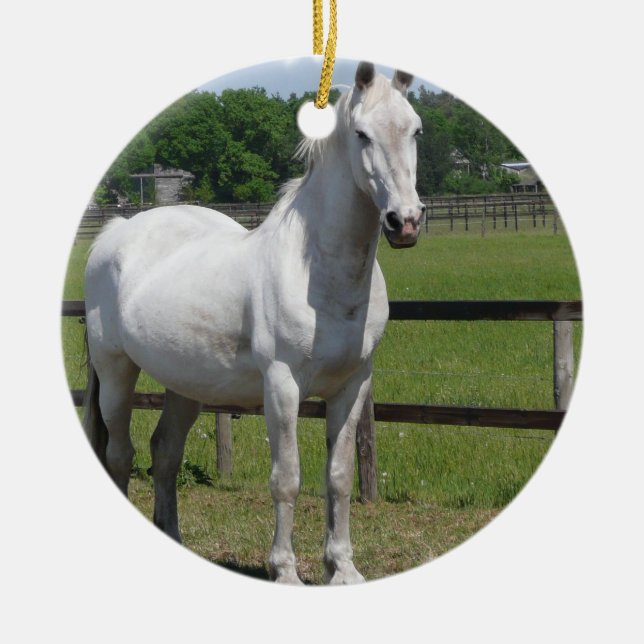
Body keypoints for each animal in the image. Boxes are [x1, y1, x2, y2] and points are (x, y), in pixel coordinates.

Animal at [83, 61, 425, 585]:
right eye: (362, 134)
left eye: (416, 130)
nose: (404, 221)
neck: (320, 272)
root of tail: (116, 231)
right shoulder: (281, 386)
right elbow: (287, 479)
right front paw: (285, 570)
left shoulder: (353, 385)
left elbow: (340, 477)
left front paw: (343, 569)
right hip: (116, 372)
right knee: (121, 455)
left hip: (186, 384)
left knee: (165, 453)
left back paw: (174, 539)